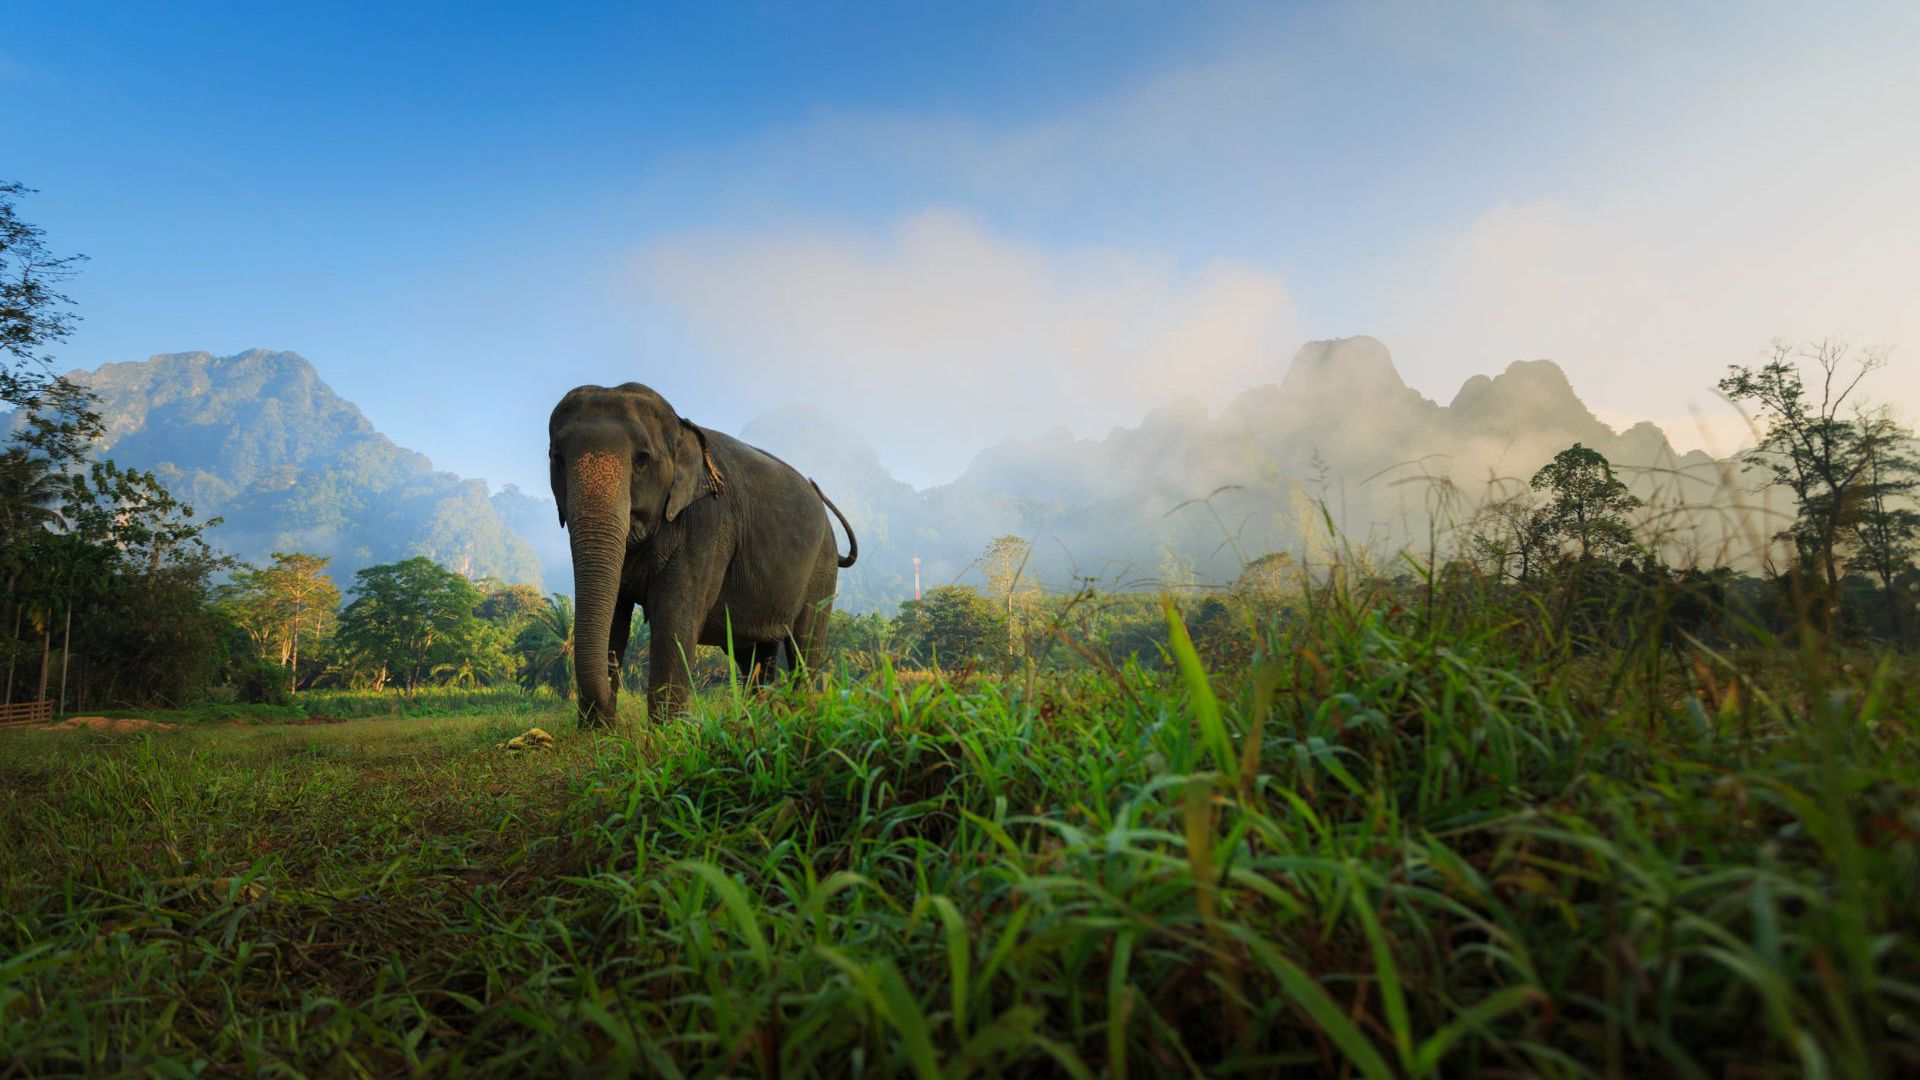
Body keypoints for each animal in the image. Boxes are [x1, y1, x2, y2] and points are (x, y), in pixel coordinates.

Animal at [548, 383, 857, 726]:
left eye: (642, 459)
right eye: (556, 458)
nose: (612, 662)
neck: (681, 427)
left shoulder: (707, 525)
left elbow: (673, 618)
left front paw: (665, 735)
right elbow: (615, 613)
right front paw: (596, 733)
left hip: (822, 570)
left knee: (804, 646)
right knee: (755, 657)